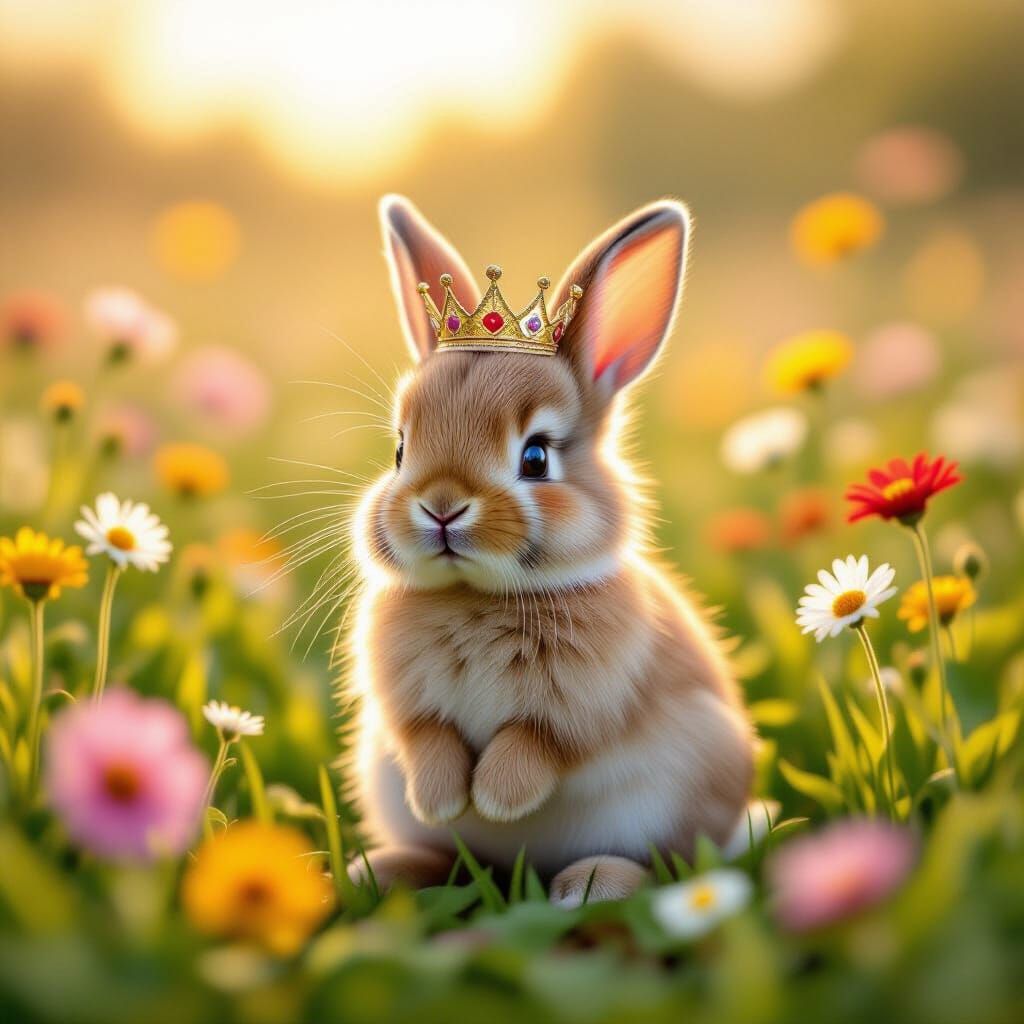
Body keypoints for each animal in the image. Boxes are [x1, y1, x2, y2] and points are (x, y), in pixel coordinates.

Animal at [343, 194, 757, 906]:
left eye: (535, 458)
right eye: (399, 450)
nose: (441, 506)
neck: (475, 595)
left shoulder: (582, 704)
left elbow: (537, 743)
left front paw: (496, 799)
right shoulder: (404, 706)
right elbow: (425, 737)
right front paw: (445, 800)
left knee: (667, 865)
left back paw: (587, 885)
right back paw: (381, 870)